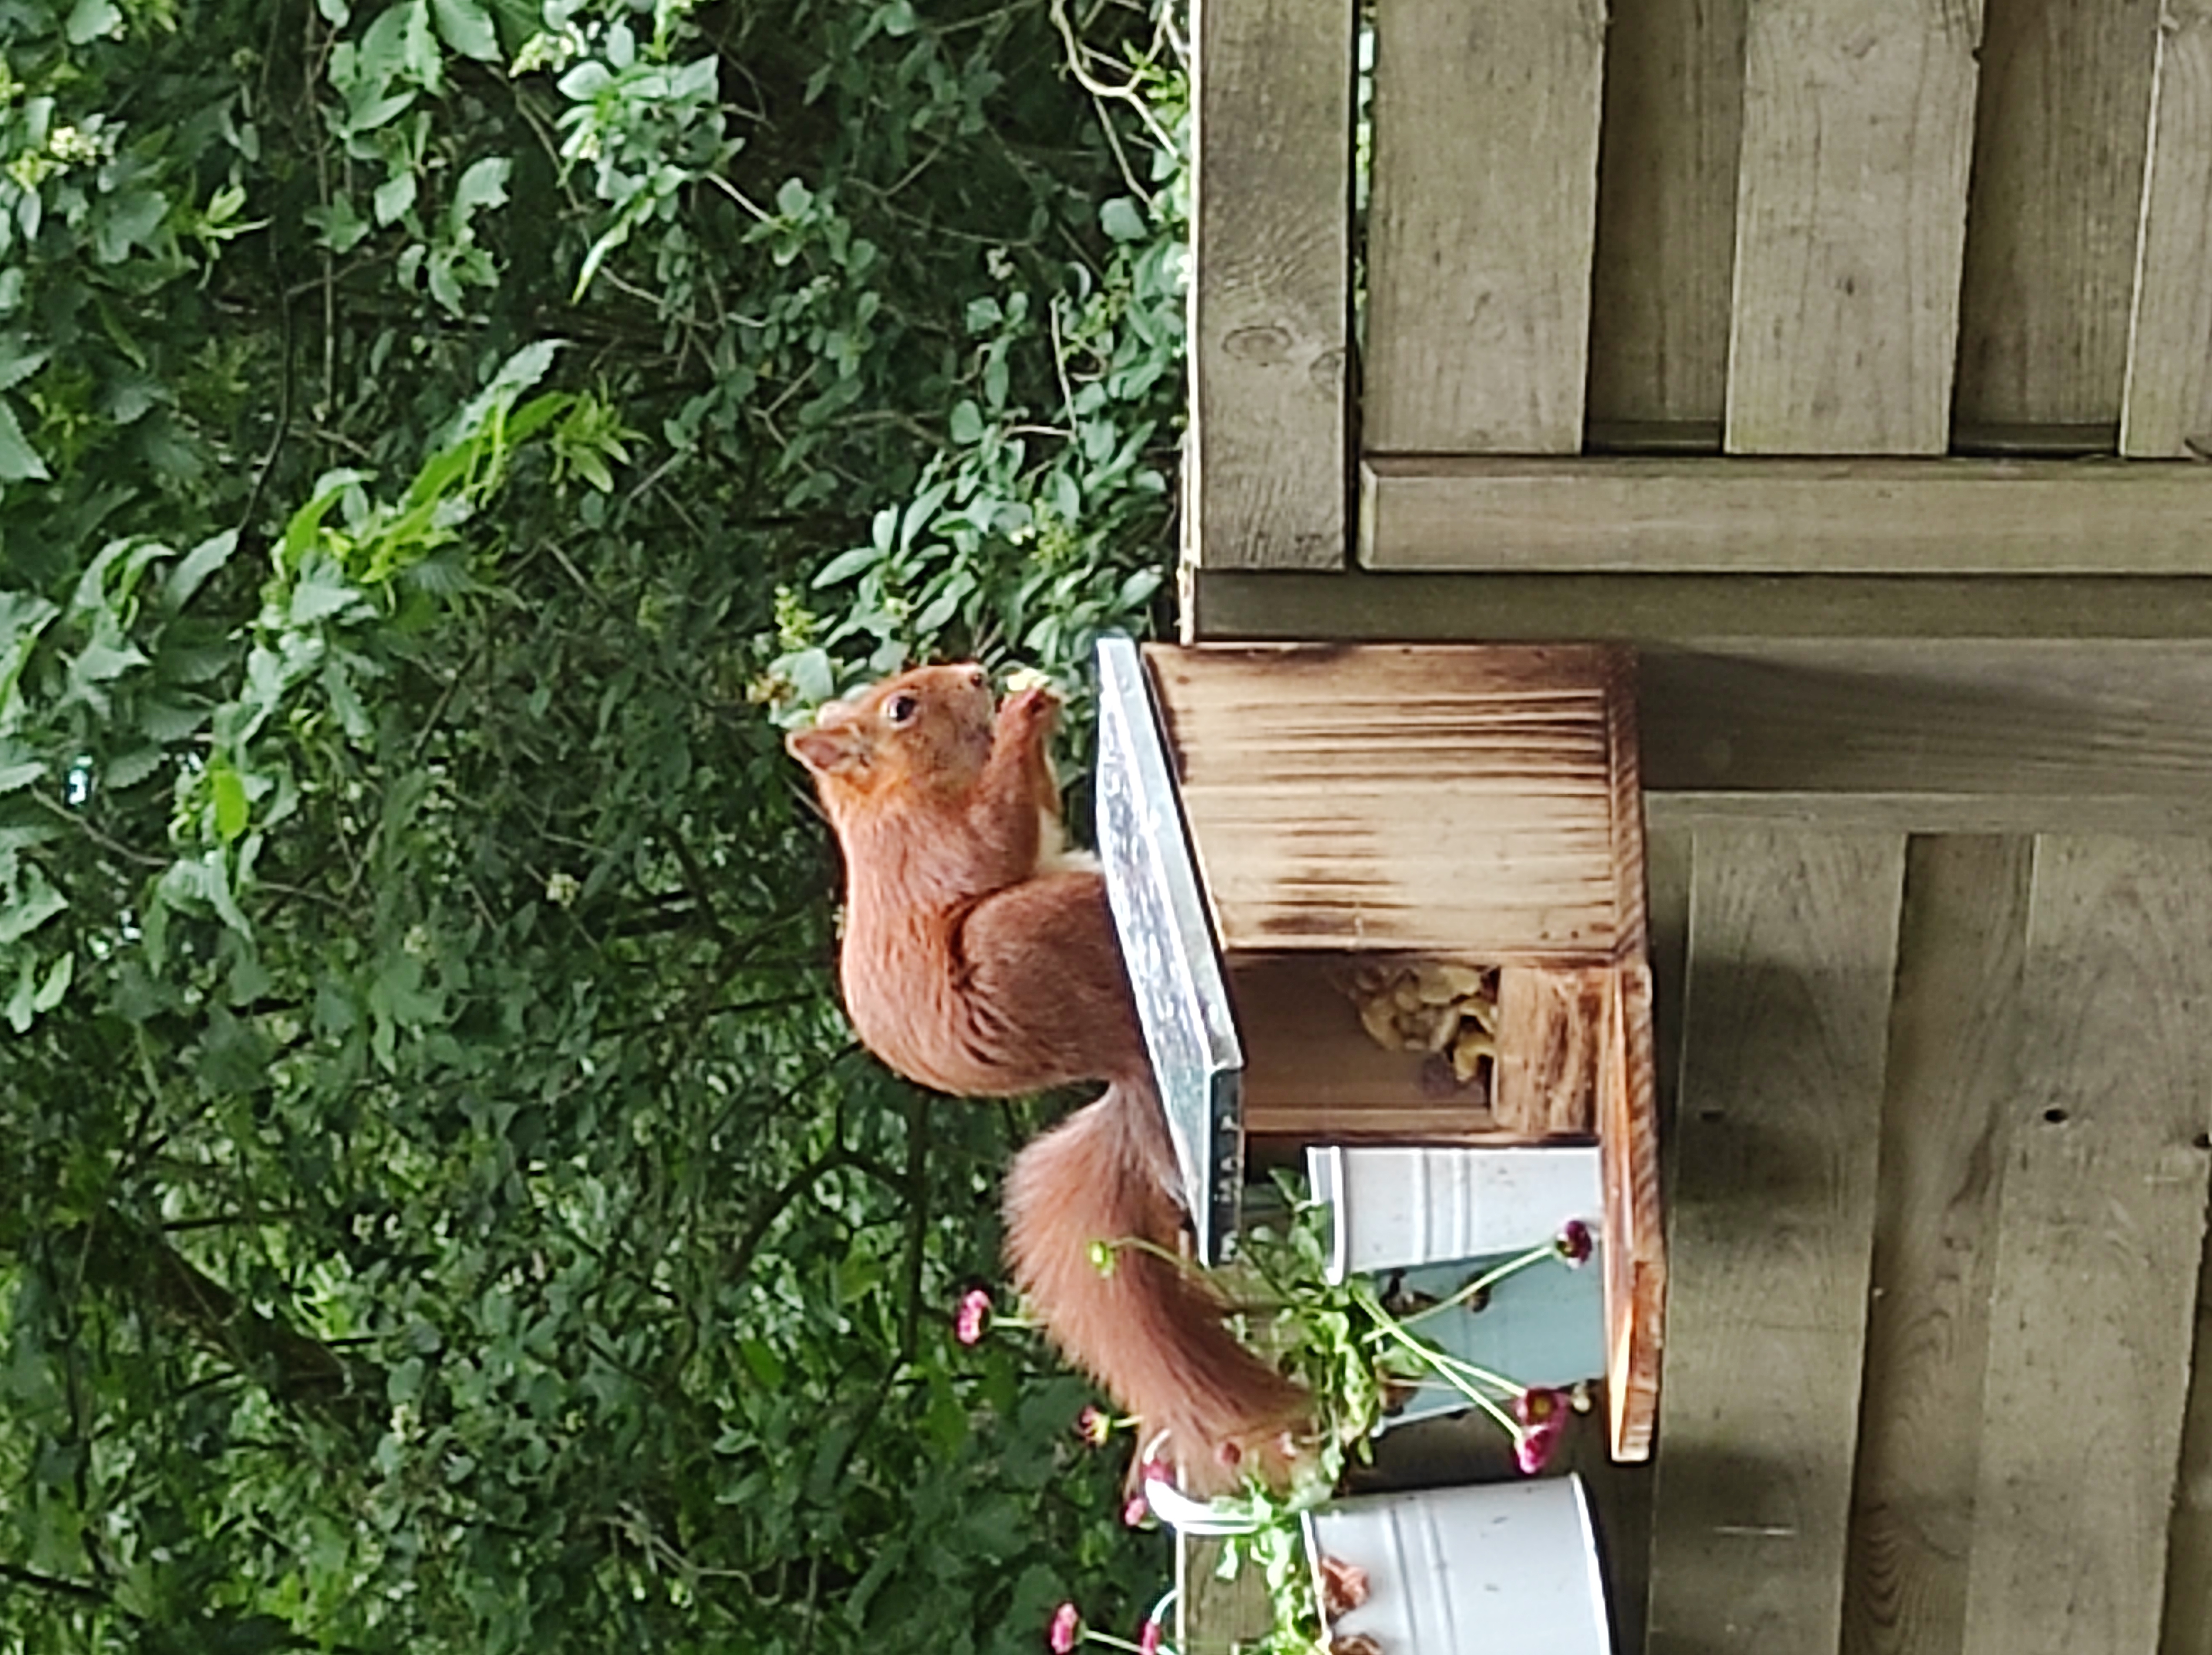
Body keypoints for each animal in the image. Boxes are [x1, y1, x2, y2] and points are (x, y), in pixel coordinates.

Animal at [786, 662, 1307, 1493]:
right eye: (903, 708)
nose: (976, 673)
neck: (894, 800)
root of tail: (1126, 1061)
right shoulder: (927, 851)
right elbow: (991, 839)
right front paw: (1021, 715)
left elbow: (1035, 814)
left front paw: (1038, 704)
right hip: (1030, 933)